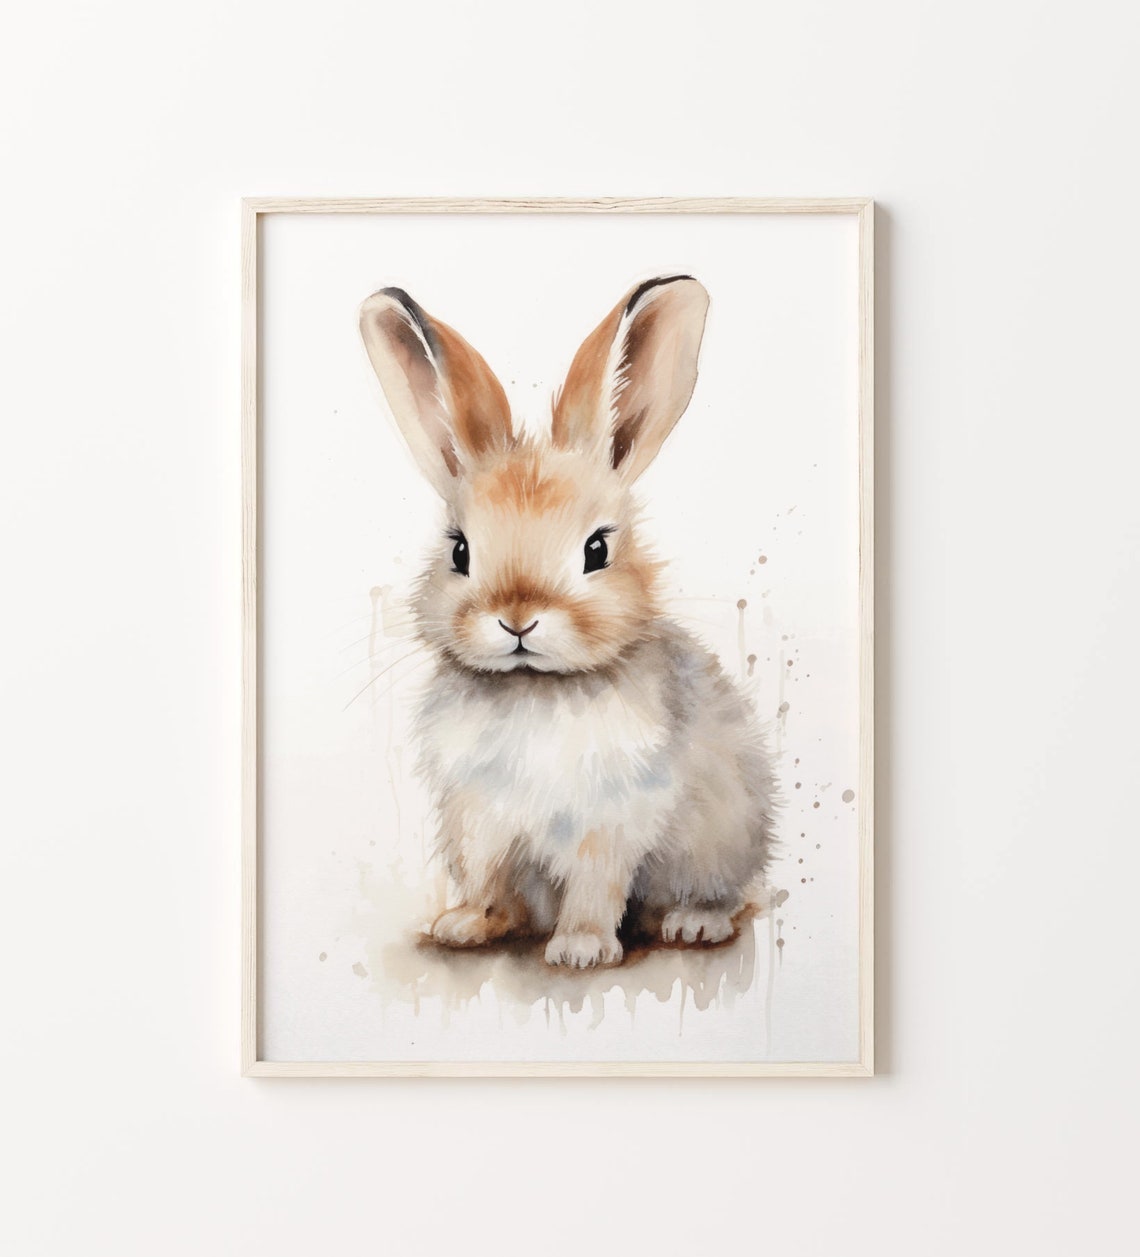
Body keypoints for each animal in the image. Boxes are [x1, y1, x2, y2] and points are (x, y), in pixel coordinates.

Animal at [358, 275, 779, 968]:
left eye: (597, 550)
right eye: (460, 552)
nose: (518, 620)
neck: (535, 688)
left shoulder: (610, 821)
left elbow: (594, 885)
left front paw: (581, 947)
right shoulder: (479, 817)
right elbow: (486, 878)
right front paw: (465, 925)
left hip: (722, 840)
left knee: (717, 893)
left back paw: (694, 923)